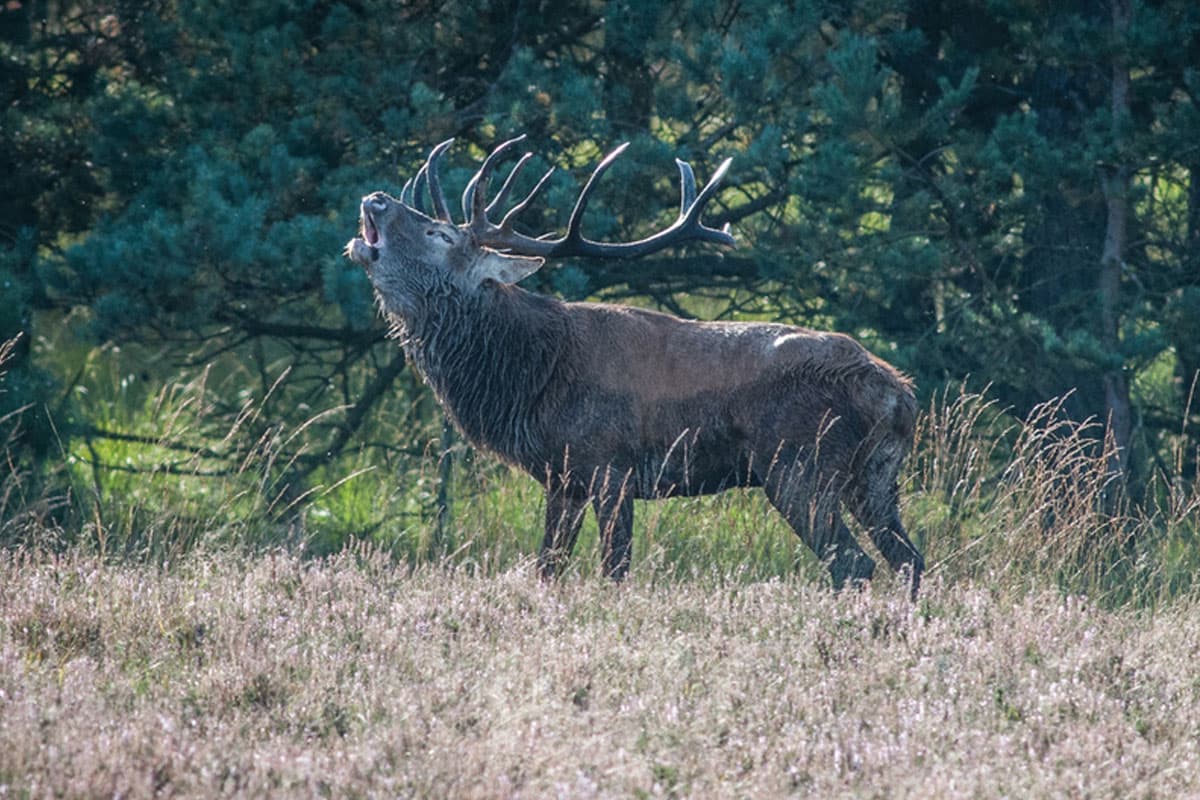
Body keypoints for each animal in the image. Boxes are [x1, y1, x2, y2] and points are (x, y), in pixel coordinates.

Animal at [344, 136, 925, 597]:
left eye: (440, 235)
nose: (376, 197)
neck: (527, 380)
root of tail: (900, 395)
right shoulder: (563, 478)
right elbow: (547, 568)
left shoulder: (612, 466)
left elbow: (614, 570)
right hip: (875, 477)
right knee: (908, 559)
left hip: (798, 466)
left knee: (854, 564)